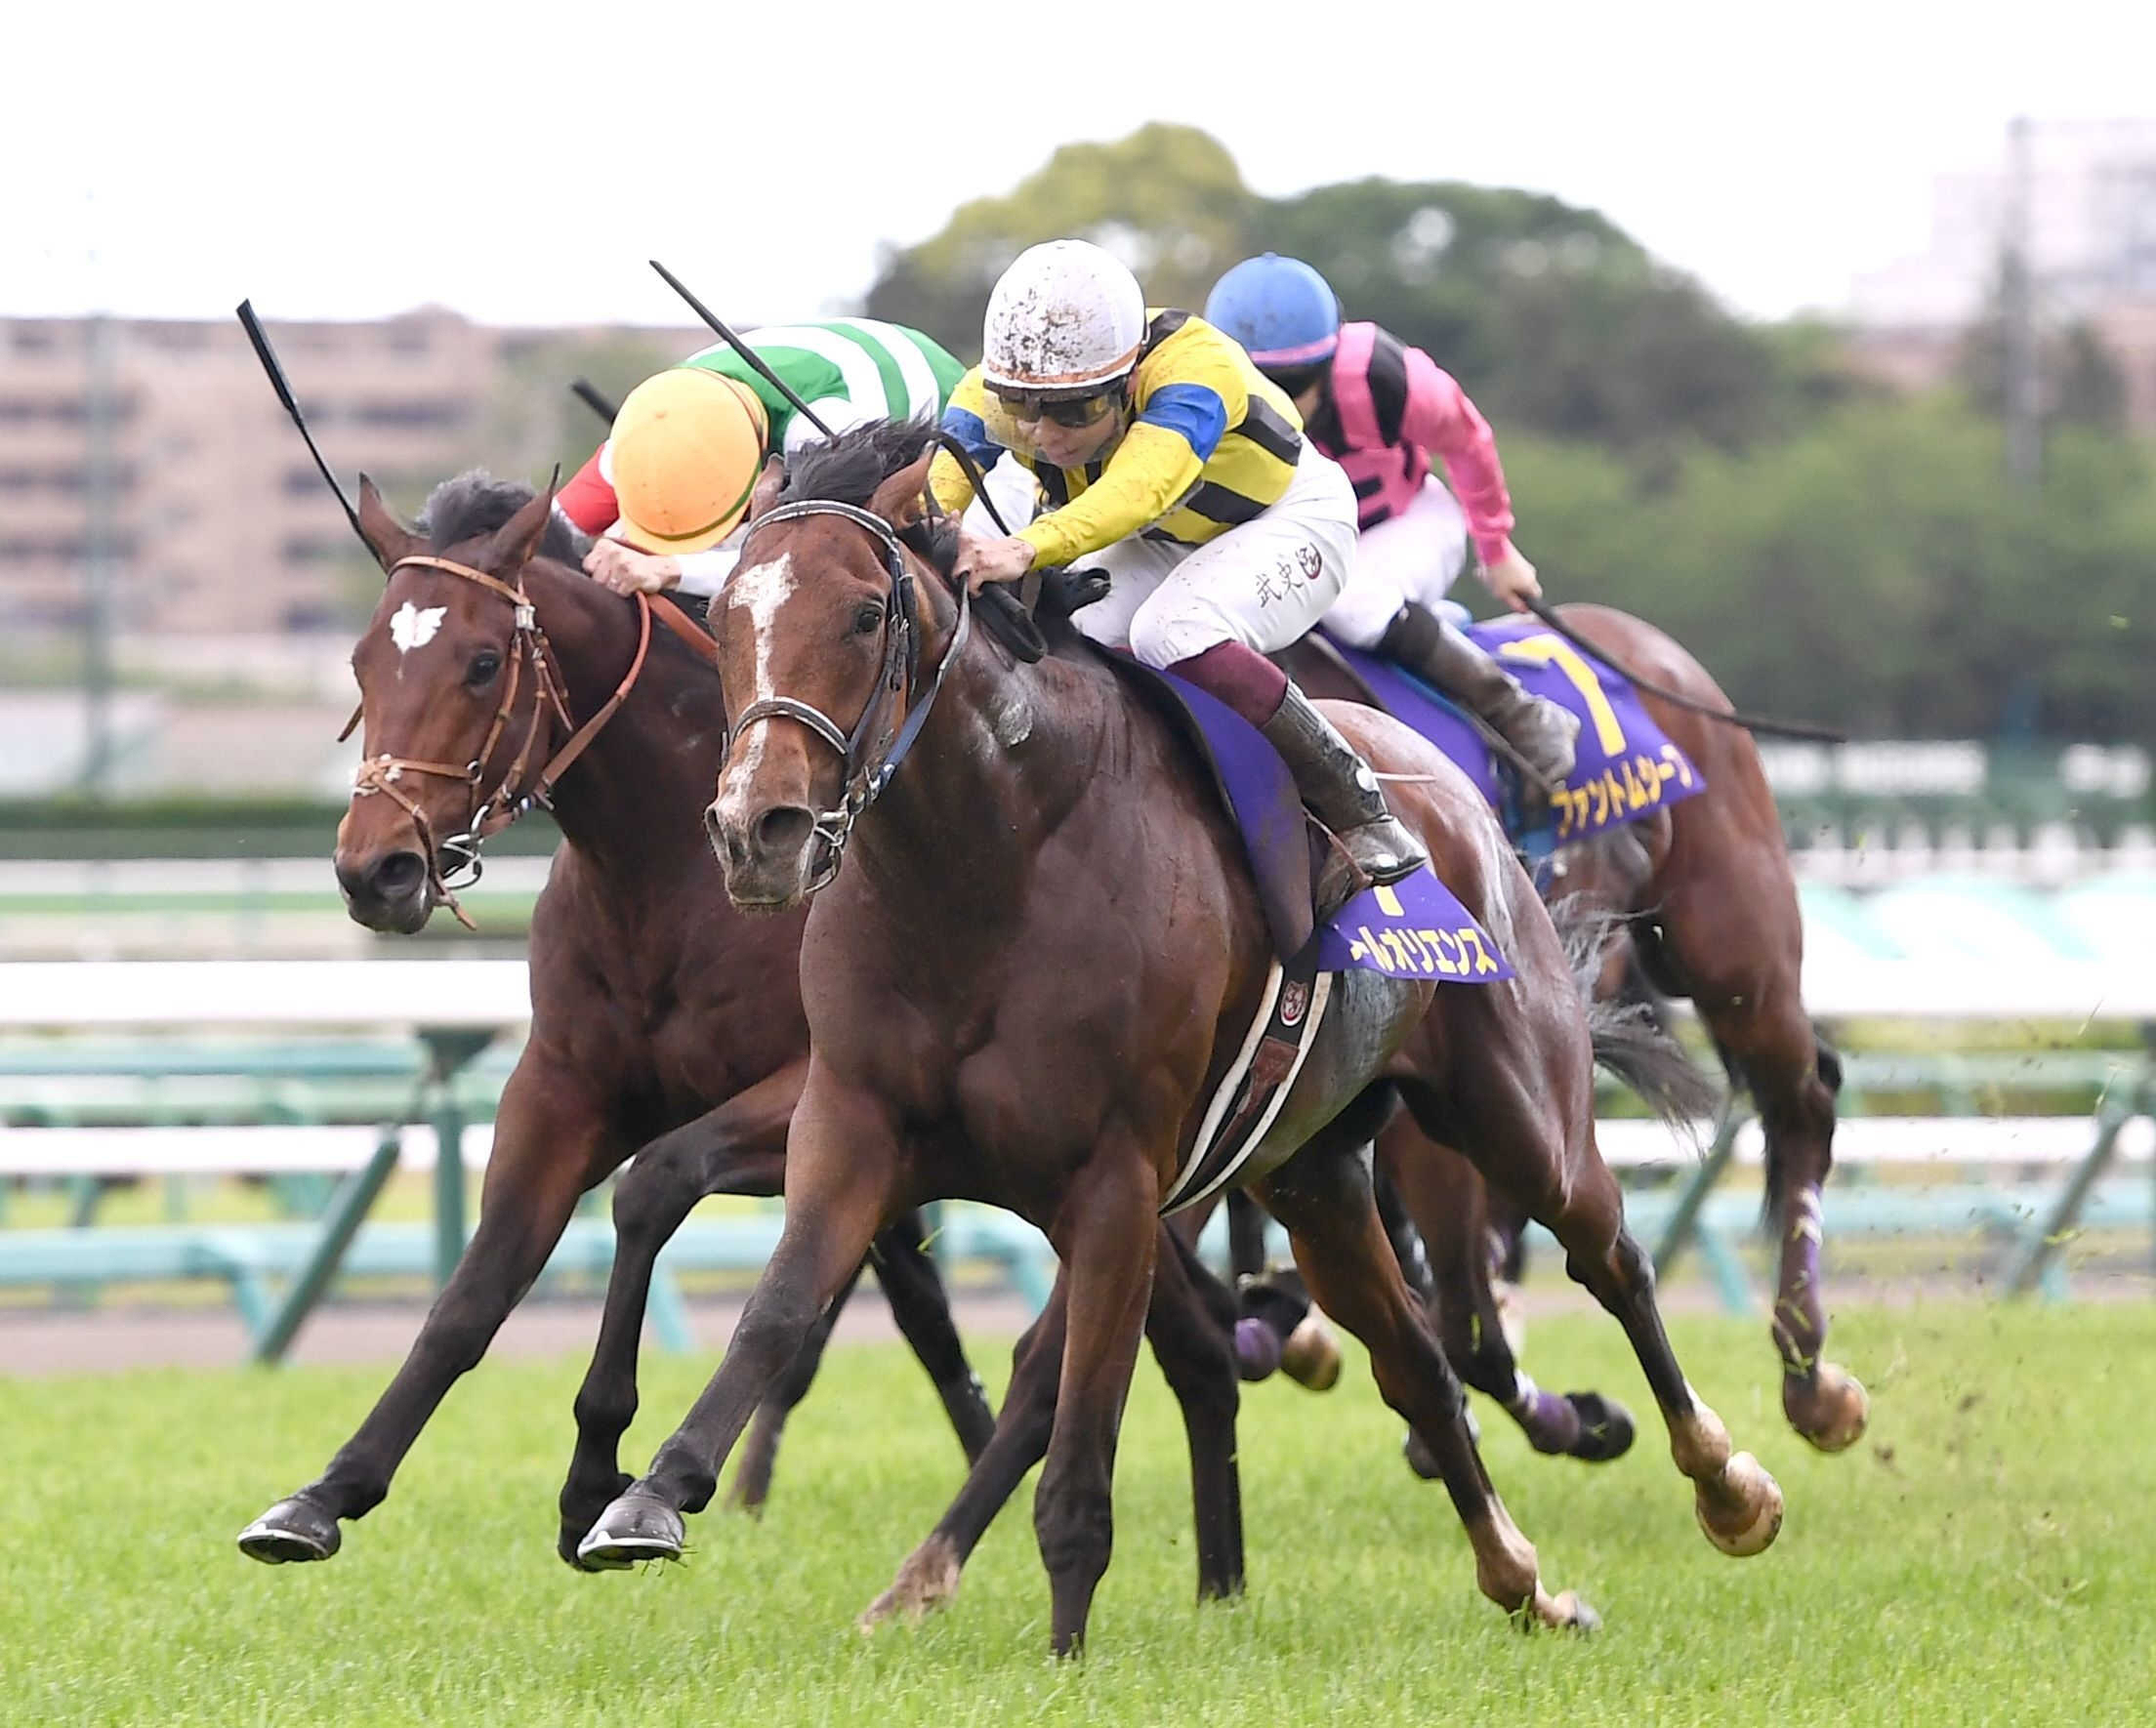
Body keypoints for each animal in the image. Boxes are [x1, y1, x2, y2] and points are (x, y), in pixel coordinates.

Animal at [234, 472, 1003, 1569]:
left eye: (482, 663)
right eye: (362, 660)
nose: (372, 868)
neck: (665, 873)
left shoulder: (815, 1093)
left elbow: (651, 1185)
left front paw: (597, 1470)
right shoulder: (560, 1087)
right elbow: (475, 1288)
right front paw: (329, 1489)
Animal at [573, 420, 1782, 1655]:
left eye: (866, 614)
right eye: (728, 617)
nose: (755, 832)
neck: (986, 864)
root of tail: (1459, 797)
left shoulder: (1118, 1182)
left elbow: (1078, 1442)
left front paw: (1062, 1649)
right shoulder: (853, 1125)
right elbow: (775, 1312)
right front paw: (647, 1497)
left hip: (1515, 1110)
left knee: (1611, 1255)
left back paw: (1730, 1482)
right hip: (1314, 1176)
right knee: (1419, 1363)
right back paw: (1525, 1580)